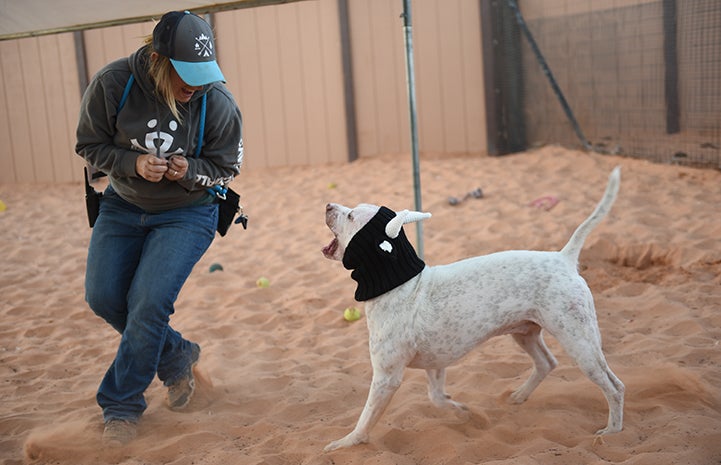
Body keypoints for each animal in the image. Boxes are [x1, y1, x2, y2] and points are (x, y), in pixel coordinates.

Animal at [322, 166, 624, 450]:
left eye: (351, 216)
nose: (327, 205)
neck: (401, 284)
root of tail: (564, 258)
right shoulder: (436, 363)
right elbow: (436, 398)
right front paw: (464, 413)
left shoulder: (387, 377)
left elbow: (366, 419)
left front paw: (345, 443)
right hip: (526, 334)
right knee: (547, 362)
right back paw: (519, 396)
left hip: (579, 342)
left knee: (615, 386)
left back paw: (612, 432)